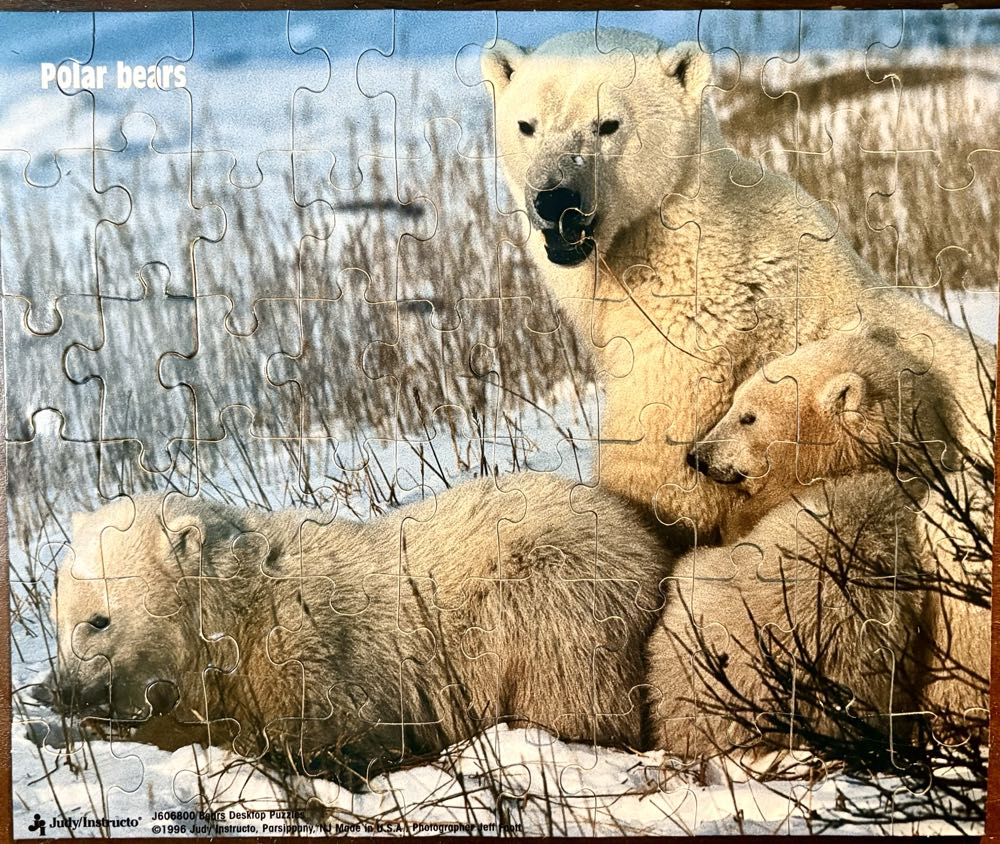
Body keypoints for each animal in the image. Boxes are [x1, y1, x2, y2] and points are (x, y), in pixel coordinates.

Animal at [44, 473, 674, 785]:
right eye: (58, 618)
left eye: (98, 620)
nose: (62, 689)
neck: (241, 610)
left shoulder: (313, 661)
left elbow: (327, 739)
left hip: (552, 596)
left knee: (567, 690)